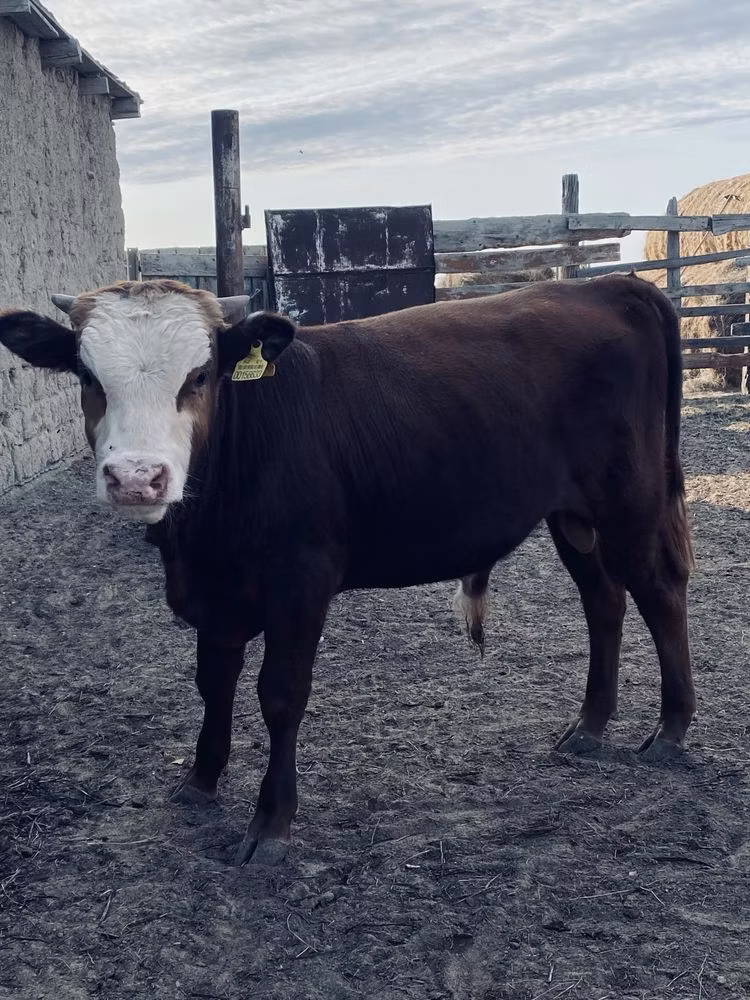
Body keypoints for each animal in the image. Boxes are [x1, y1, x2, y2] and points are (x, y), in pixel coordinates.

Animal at [0, 275, 696, 865]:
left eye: (199, 376)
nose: (138, 478)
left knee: (660, 593)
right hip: (572, 514)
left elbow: (280, 695)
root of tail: (611, 284)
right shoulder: (216, 591)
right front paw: (201, 779)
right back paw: (589, 726)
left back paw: (670, 730)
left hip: (631, 502)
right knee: (603, 600)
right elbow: (213, 683)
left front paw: (271, 823)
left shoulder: (301, 581)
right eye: (87, 376)